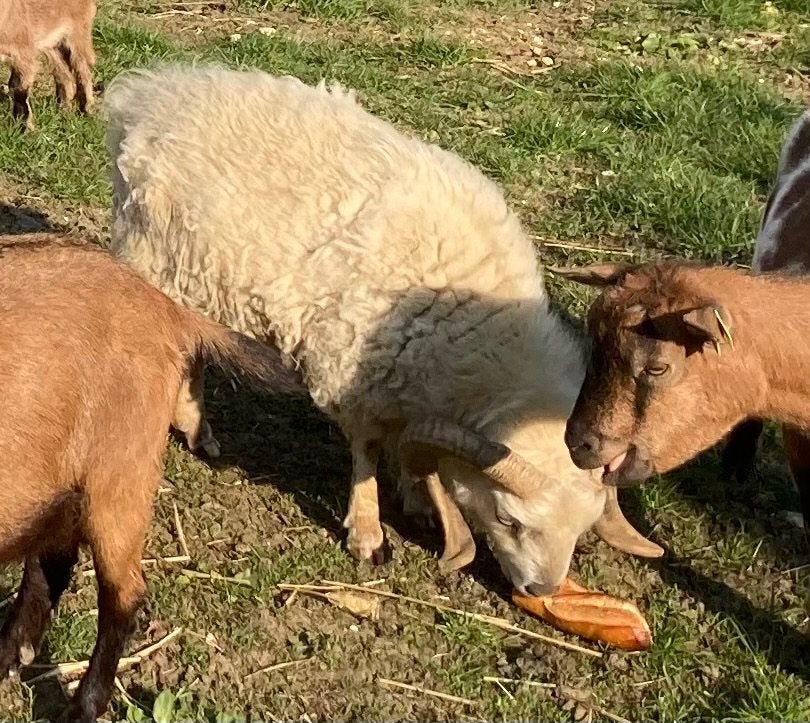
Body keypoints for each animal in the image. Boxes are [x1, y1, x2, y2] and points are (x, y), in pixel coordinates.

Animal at [0, 0, 96, 130]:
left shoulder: (23, 54)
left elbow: (18, 89)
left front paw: (25, 129)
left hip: (78, 31)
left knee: (83, 71)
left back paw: (86, 111)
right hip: (52, 44)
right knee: (64, 75)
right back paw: (63, 111)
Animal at [0, 233, 300, 722]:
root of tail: (162, 303)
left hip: (121, 473)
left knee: (123, 593)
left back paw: (82, 706)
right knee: (53, 562)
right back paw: (11, 655)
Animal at [105, 65, 663, 596]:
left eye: (583, 529)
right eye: (508, 519)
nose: (541, 590)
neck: (474, 330)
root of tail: (150, 93)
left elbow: (407, 449)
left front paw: (417, 500)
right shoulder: (352, 372)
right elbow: (368, 451)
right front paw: (368, 533)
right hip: (159, 261)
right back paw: (197, 427)